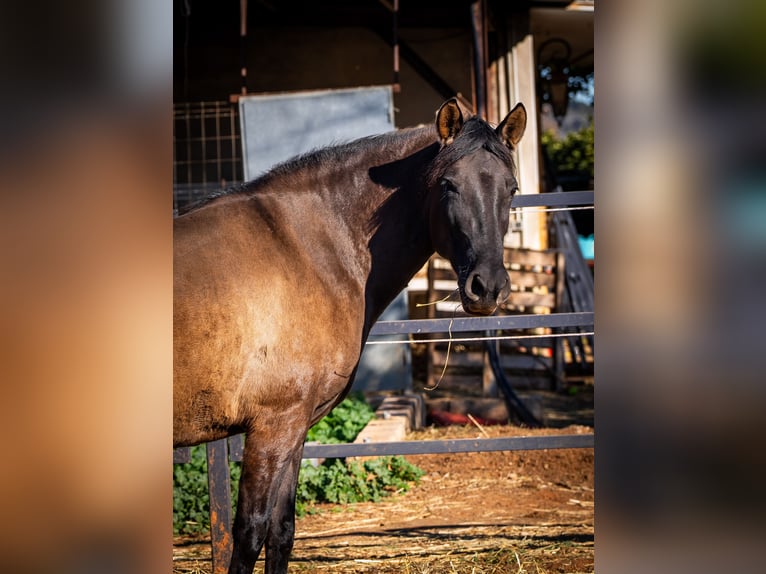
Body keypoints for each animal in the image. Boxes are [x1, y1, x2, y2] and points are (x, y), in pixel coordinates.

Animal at [172, 97, 528, 572]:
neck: (307, 251)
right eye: (449, 185)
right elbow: (249, 534)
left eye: (512, 189)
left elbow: (281, 531)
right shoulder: (271, 427)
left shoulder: (294, 428)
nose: (487, 287)